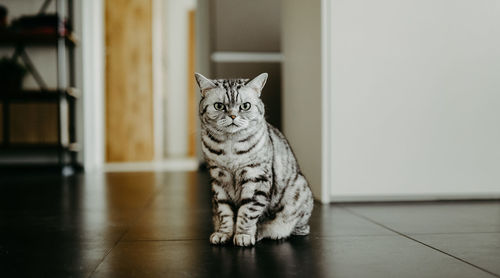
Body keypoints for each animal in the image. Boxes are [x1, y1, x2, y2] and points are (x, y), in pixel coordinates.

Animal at [195, 72, 312, 248]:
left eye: (245, 106)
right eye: (219, 106)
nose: (233, 116)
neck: (230, 145)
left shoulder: (255, 176)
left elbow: (247, 211)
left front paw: (243, 236)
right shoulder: (218, 179)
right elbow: (224, 211)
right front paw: (223, 234)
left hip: (299, 191)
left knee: (300, 227)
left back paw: (267, 233)